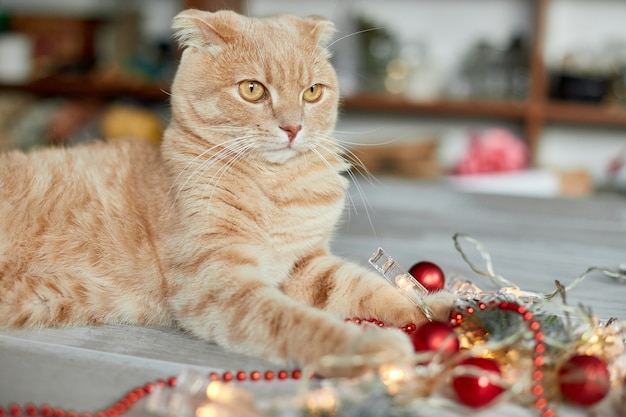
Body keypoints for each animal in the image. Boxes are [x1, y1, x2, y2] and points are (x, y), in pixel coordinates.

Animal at [0, 8, 450, 368]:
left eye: (312, 92)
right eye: (252, 89)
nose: (292, 127)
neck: (277, 186)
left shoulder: (305, 265)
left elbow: (367, 286)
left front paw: (436, 307)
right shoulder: (221, 283)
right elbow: (295, 322)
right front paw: (366, 346)